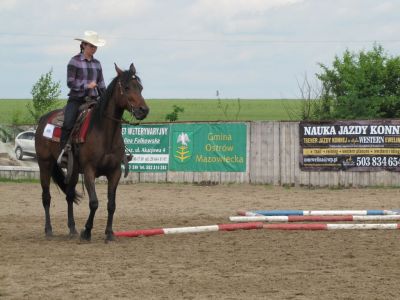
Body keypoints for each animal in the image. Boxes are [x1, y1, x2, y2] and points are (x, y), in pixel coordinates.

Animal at [34, 63, 149, 241]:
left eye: (140, 87)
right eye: (127, 87)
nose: (143, 110)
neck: (104, 133)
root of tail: (43, 119)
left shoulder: (115, 172)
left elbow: (111, 204)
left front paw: (109, 233)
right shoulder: (89, 170)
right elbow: (94, 202)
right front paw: (86, 231)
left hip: (73, 171)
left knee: (69, 195)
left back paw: (72, 229)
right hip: (45, 164)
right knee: (46, 197)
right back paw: (48, 230)